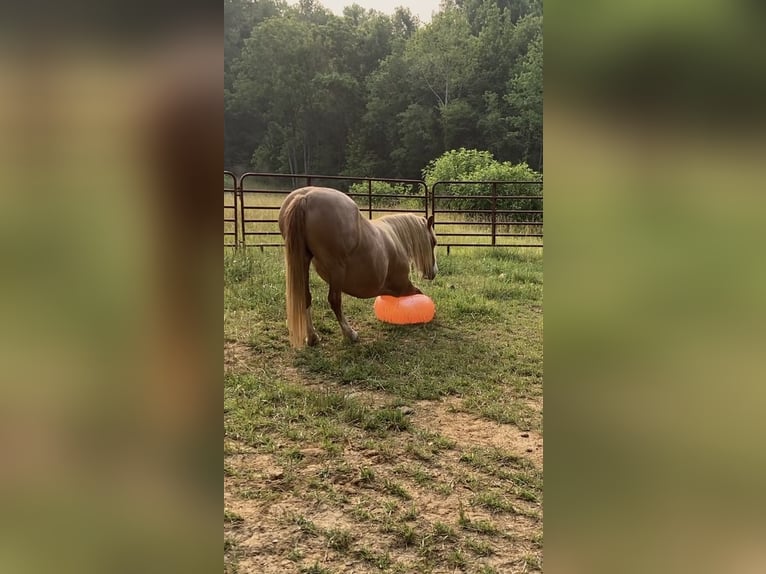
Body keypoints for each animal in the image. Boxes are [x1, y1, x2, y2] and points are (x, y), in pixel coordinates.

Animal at [280, 187, 438, 348]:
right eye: (434, 242)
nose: (433, 272)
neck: (395, 237)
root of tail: (305, 197)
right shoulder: (403, 287)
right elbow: (419, 292)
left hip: (303, 262)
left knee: (306, 297)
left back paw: (312, 337)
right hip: (336, 269)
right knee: (334, 300)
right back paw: (350, 334)